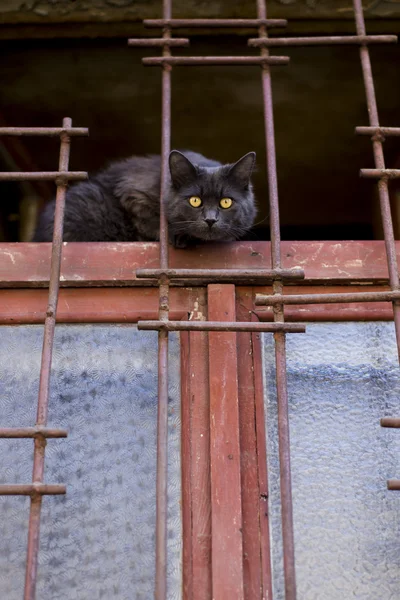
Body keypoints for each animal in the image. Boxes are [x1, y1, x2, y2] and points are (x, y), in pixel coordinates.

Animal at [32, 151, 255, 247]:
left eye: (226, 202)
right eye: (195, 201)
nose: (210, 220)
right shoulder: (132, 191)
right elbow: (149, 220)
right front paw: (176, 236)